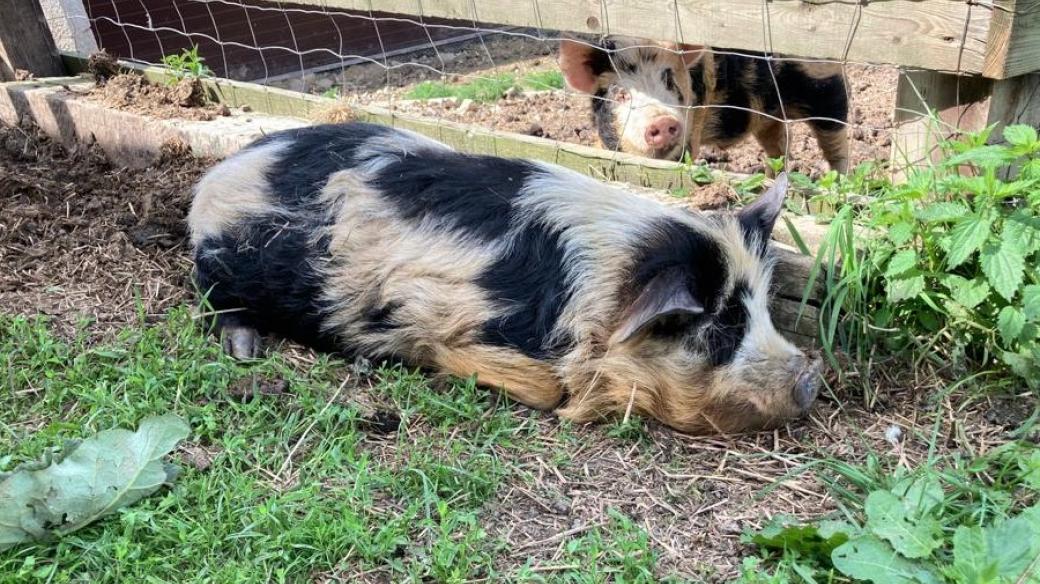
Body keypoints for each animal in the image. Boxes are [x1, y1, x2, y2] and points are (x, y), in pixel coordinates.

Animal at [187, 122, 819, 432]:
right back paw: (246, 351)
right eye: (719, 327)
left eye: (760, 309)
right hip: (228, 265)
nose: (811, 376)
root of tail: (219, 174)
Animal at [561, 35, 844, 171]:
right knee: (780, 145)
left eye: (669, 80)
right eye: (621, 93)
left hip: (826, 87)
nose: (662, 121)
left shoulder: (691, 131)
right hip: (767, 117)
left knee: (836, 143)